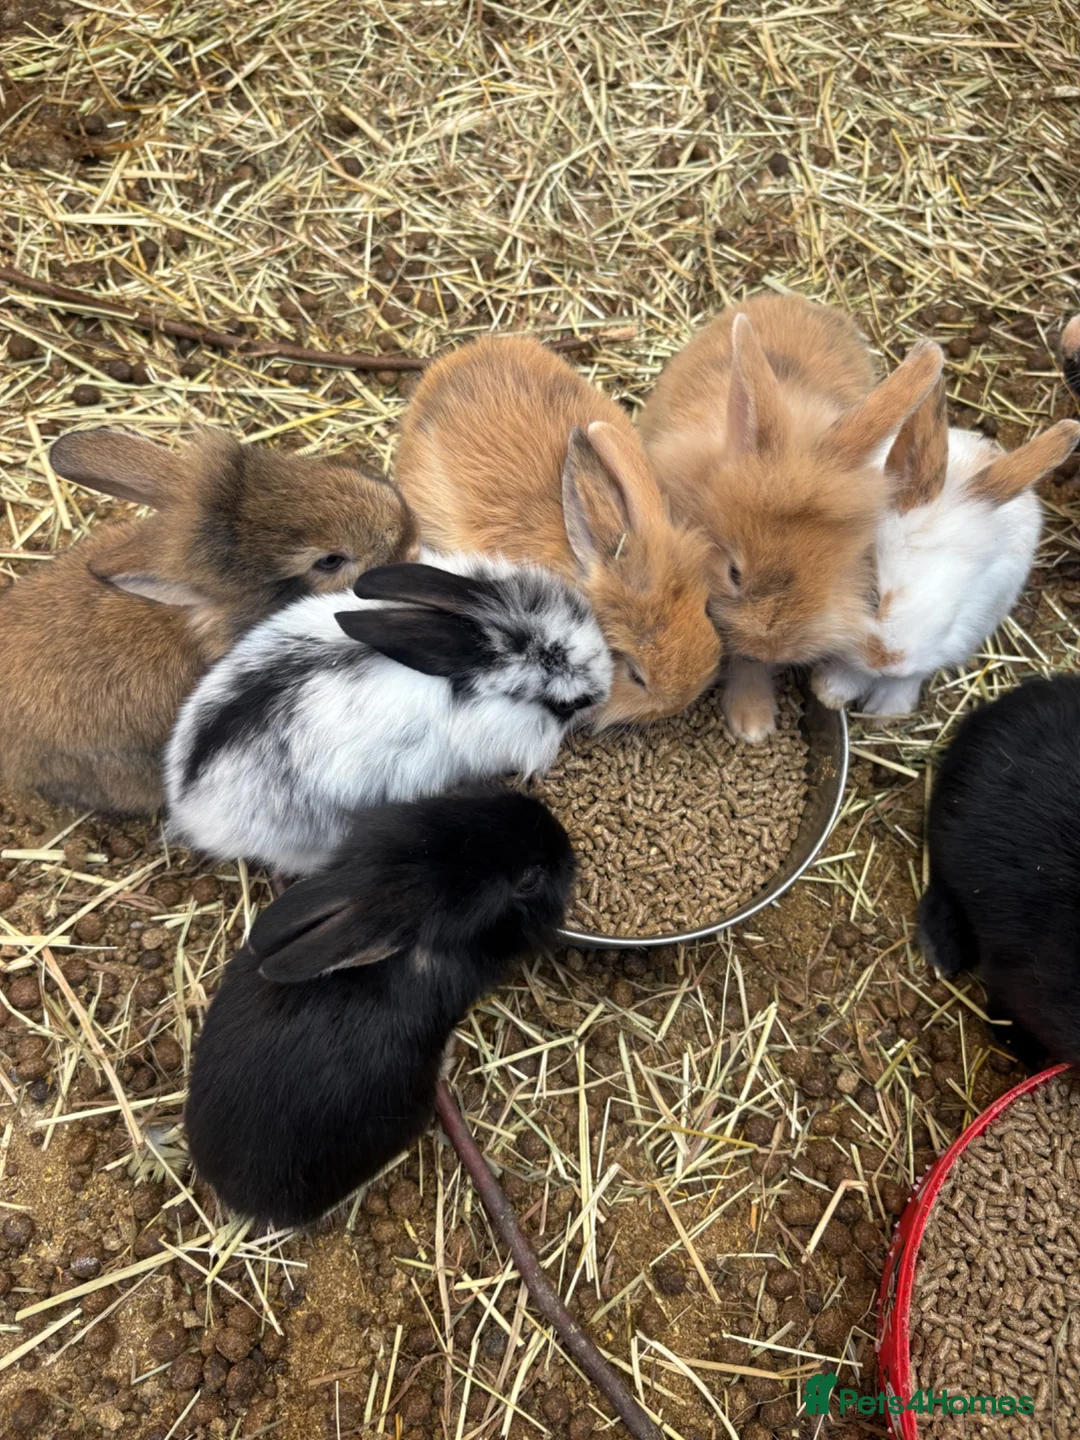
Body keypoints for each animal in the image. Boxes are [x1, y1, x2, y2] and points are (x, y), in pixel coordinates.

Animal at [636, 294, 944, 741]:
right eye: (734, 573)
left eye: (831, 575)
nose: (770, 646)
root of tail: (796, 299)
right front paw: (752, 724)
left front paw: (753, 722)